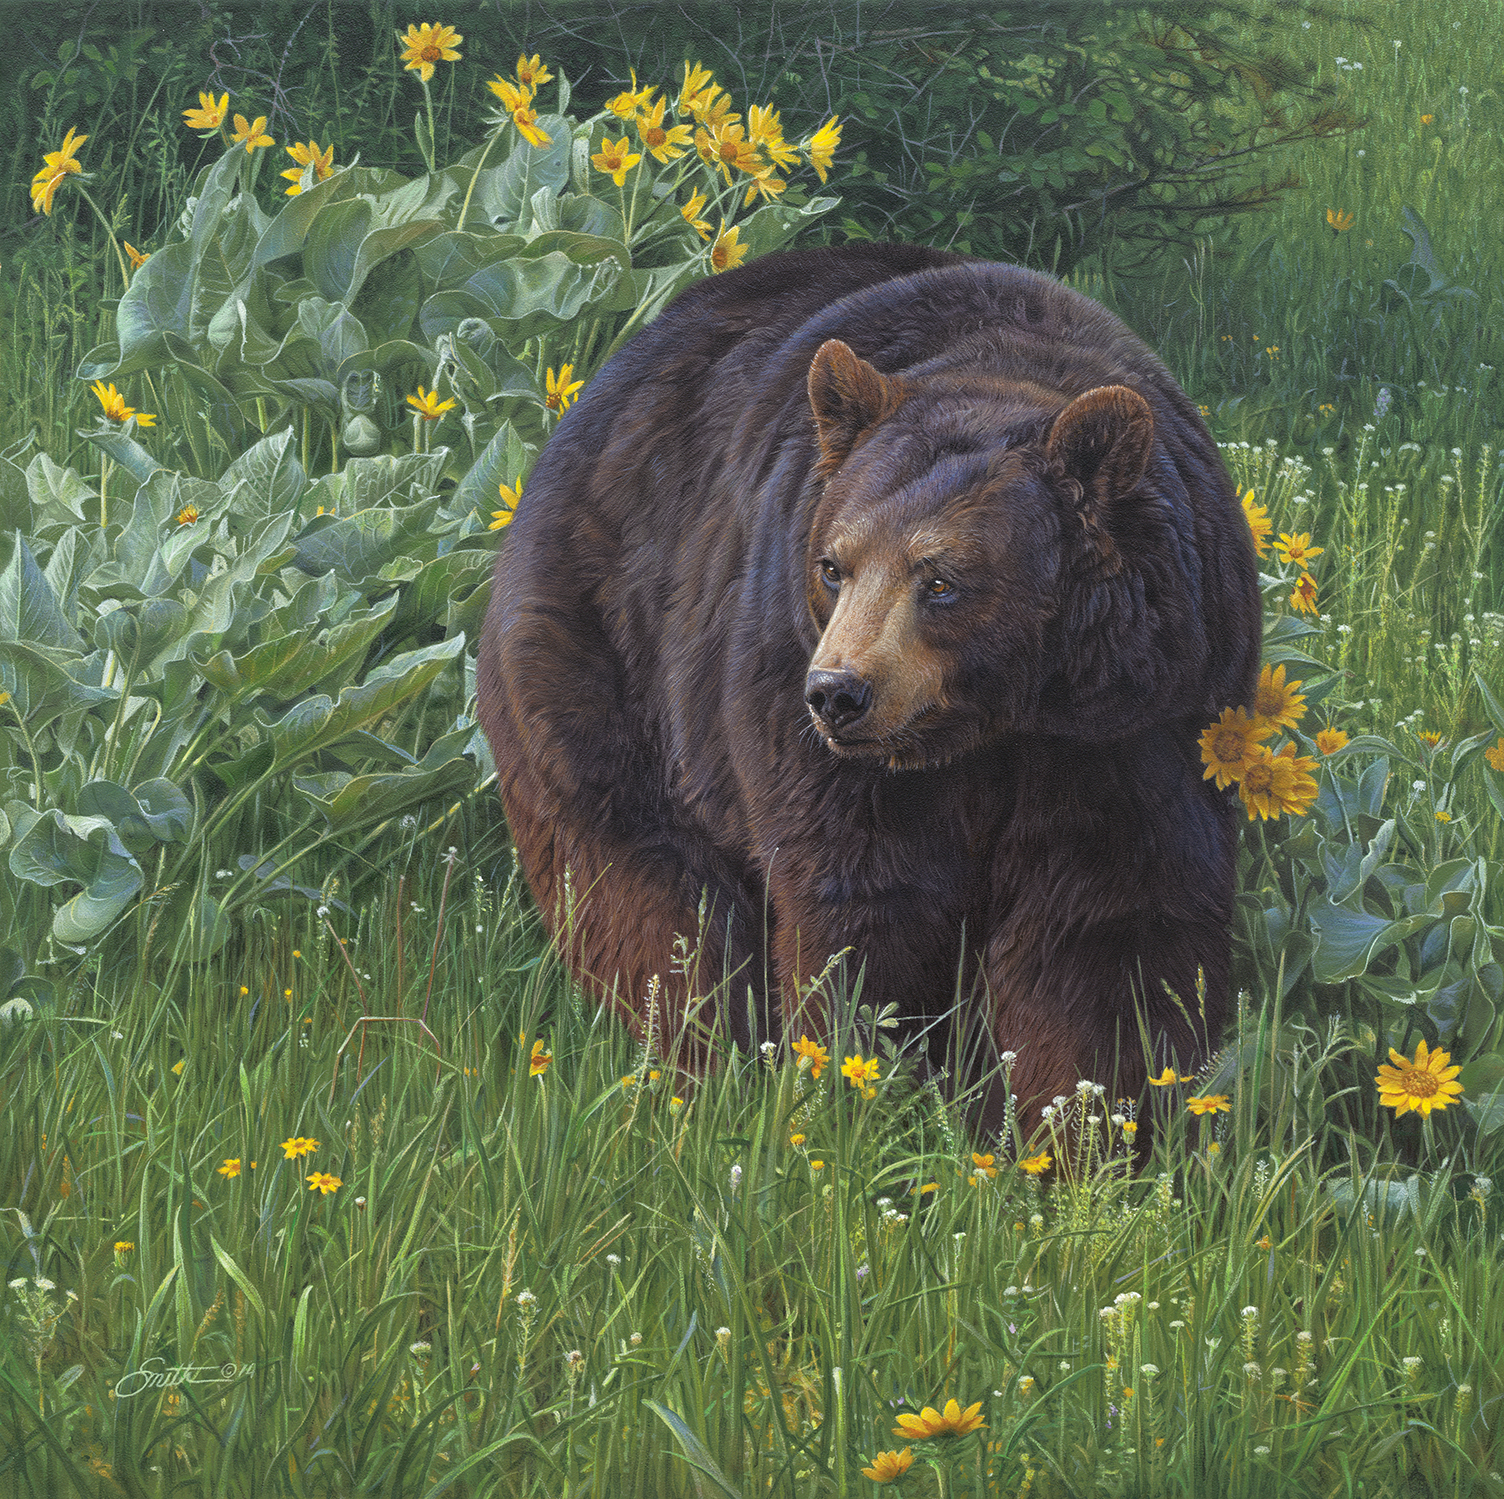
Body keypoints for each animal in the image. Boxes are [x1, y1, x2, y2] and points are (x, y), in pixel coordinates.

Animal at [475, 245, 1263, 1130]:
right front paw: (860, 1087)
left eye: (942, 580)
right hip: (602, 677)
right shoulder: (795, 705)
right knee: (653, 903)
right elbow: (865, 903)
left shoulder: (1136, 723)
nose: (837, 692)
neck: (1000, 720)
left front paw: (1088, 1125)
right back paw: (705, 1068)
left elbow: (1106, 929)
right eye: (833, 565)